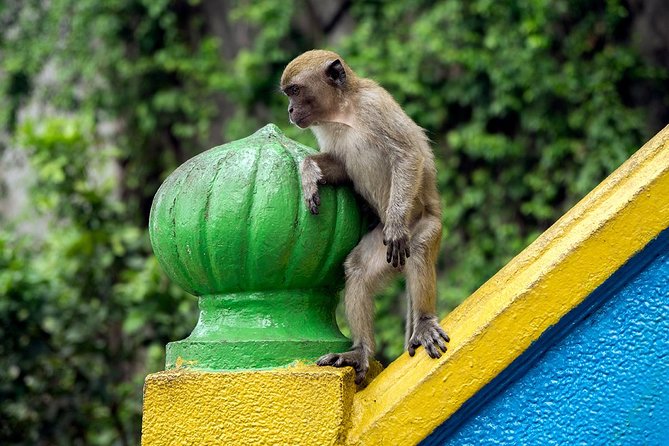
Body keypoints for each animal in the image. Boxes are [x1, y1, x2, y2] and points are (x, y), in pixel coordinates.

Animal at [281, 50, 449, 384]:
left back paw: (424, 321)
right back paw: (359, 352)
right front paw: (309, 174)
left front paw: (395, 225)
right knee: (357, 269)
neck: (345, 112)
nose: (290, 110)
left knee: (418, 246)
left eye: (294, 91)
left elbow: (407, 155)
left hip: (424, 225)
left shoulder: (375, 107)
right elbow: (340, 166)